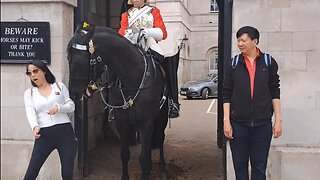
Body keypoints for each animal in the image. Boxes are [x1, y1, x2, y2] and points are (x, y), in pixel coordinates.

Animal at [68, 21, 171, 179]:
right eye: (68, 58)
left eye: (80, 60)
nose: (73, 94)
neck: (132, 77)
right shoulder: (122, 123)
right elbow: (124, 155)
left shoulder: (147, 123)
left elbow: (143, 159)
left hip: (162, 117)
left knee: (160, 139)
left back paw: (163, 170)